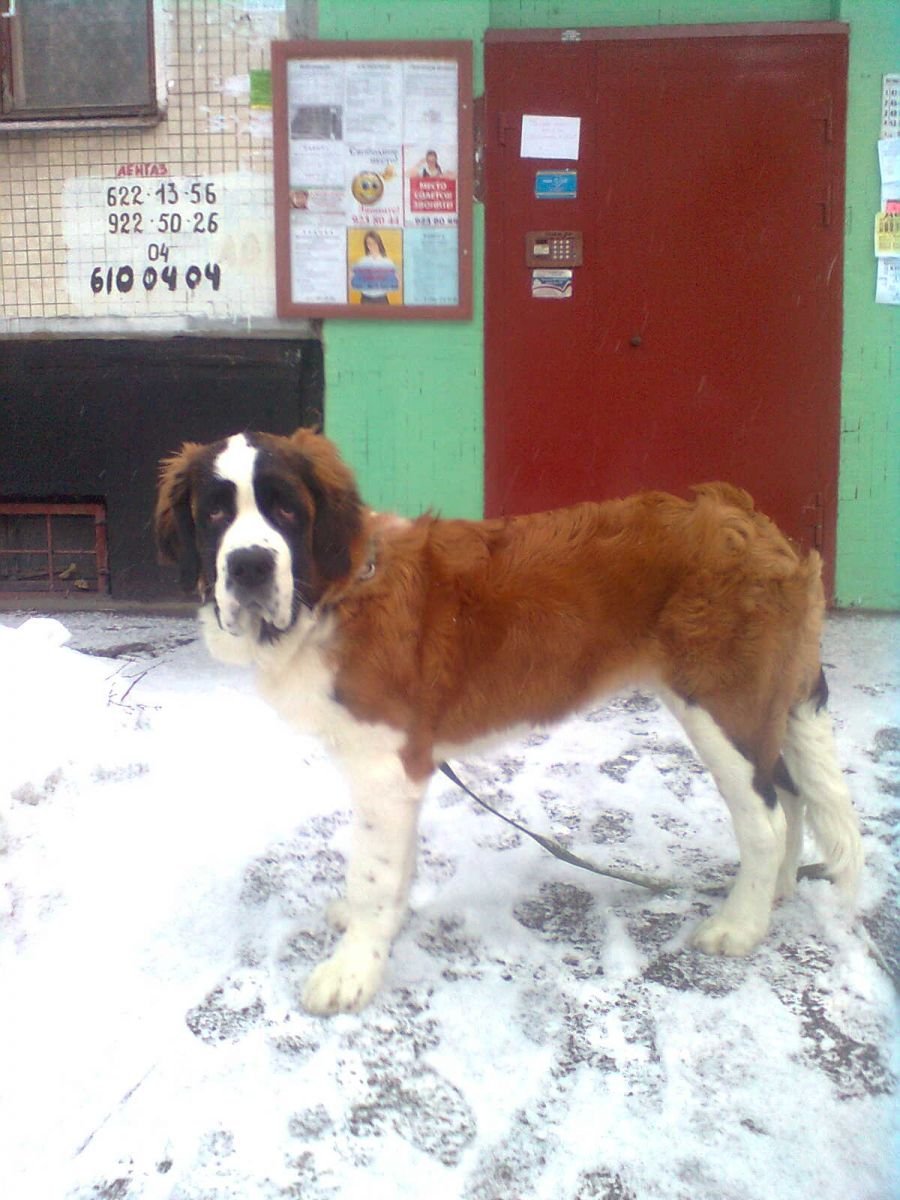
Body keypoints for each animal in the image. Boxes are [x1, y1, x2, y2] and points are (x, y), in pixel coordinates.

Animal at [155, 427, 863, 1015]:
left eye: (286, 511)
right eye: (215, 513)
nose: (248, 565)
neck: (336, 591)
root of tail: (759, 524)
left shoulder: (383, 767)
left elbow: (372, 871)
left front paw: (352, 970)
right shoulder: (403, 770)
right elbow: (395, 865)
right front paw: (382, 926)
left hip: (717, 705)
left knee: (766, 816)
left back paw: (740, 925)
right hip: (759, 708)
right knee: (789, 794)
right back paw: (775, 894)